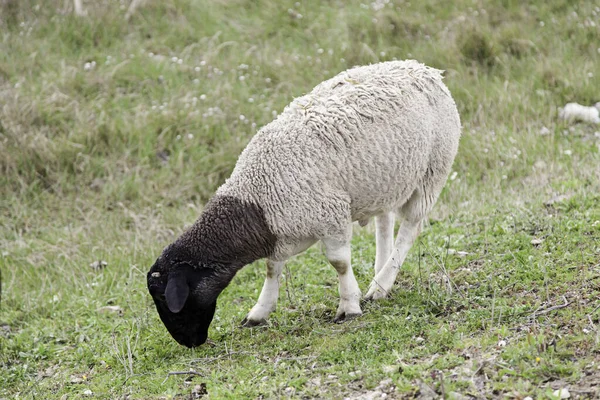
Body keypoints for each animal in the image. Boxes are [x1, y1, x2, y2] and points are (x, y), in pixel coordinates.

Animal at [148, 58, 462, 346]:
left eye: (166, 299)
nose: (189, 342)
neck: (257, 201)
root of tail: (425, 69)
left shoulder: (330, 215)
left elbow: (339, 263)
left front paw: (349, 306)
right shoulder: (283, 231)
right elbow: (272, 268)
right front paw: (259, 313)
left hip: (432, 170)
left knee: (410, 228)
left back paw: (380, 286)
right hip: (384, 180)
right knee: (385, 222)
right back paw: (379, 275)